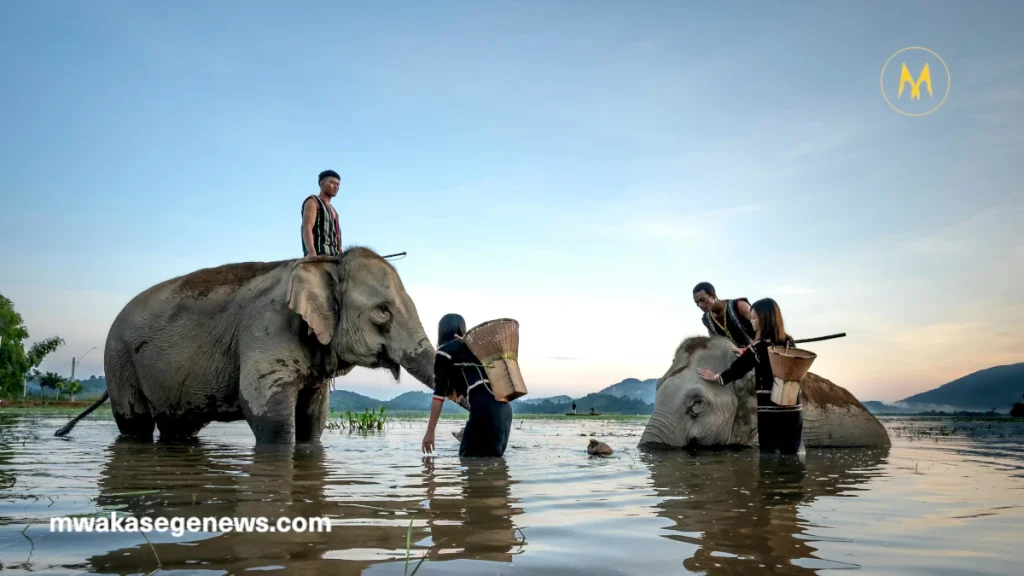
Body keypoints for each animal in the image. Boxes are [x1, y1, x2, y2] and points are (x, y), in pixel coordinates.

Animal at [55, 247, 450, 443]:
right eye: (383, 312)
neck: (326, 264)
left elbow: (312, 420)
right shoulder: (267, 326)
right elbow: (267, 413)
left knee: (177, 428)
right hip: (119, 360)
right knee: (135, 425)